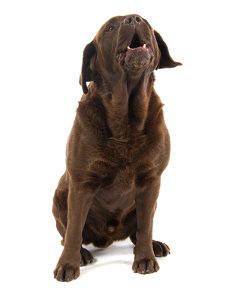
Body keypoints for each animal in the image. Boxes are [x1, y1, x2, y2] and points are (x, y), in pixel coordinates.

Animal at [52, 14, 181, 282]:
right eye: (110, 28)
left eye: (146, 22)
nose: (134, 18)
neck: (126, 123)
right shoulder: (81, 183)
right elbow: (73, 230)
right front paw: (68, 264)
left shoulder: (151, 180)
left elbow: (145, 226)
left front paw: (144, 258)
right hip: (59, 195)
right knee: (67, 233)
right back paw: (82, 253)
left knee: (140, 229)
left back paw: (154, 245)